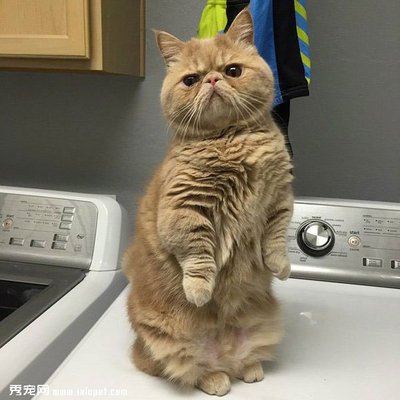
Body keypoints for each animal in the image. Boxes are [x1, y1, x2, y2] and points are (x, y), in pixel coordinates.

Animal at [123, 9, 293, 396]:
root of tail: (224, 355)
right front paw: (199, 290)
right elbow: (198, 255)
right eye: (191, 79)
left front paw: (280, 266)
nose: (212, 79)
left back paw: (249, 367)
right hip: (168, 344)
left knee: (242, 362)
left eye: (232, 70)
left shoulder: (280, 200)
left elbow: (276, 239)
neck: (231, 142)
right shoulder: (185, 210)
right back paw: (214, 378)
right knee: (191, 371)